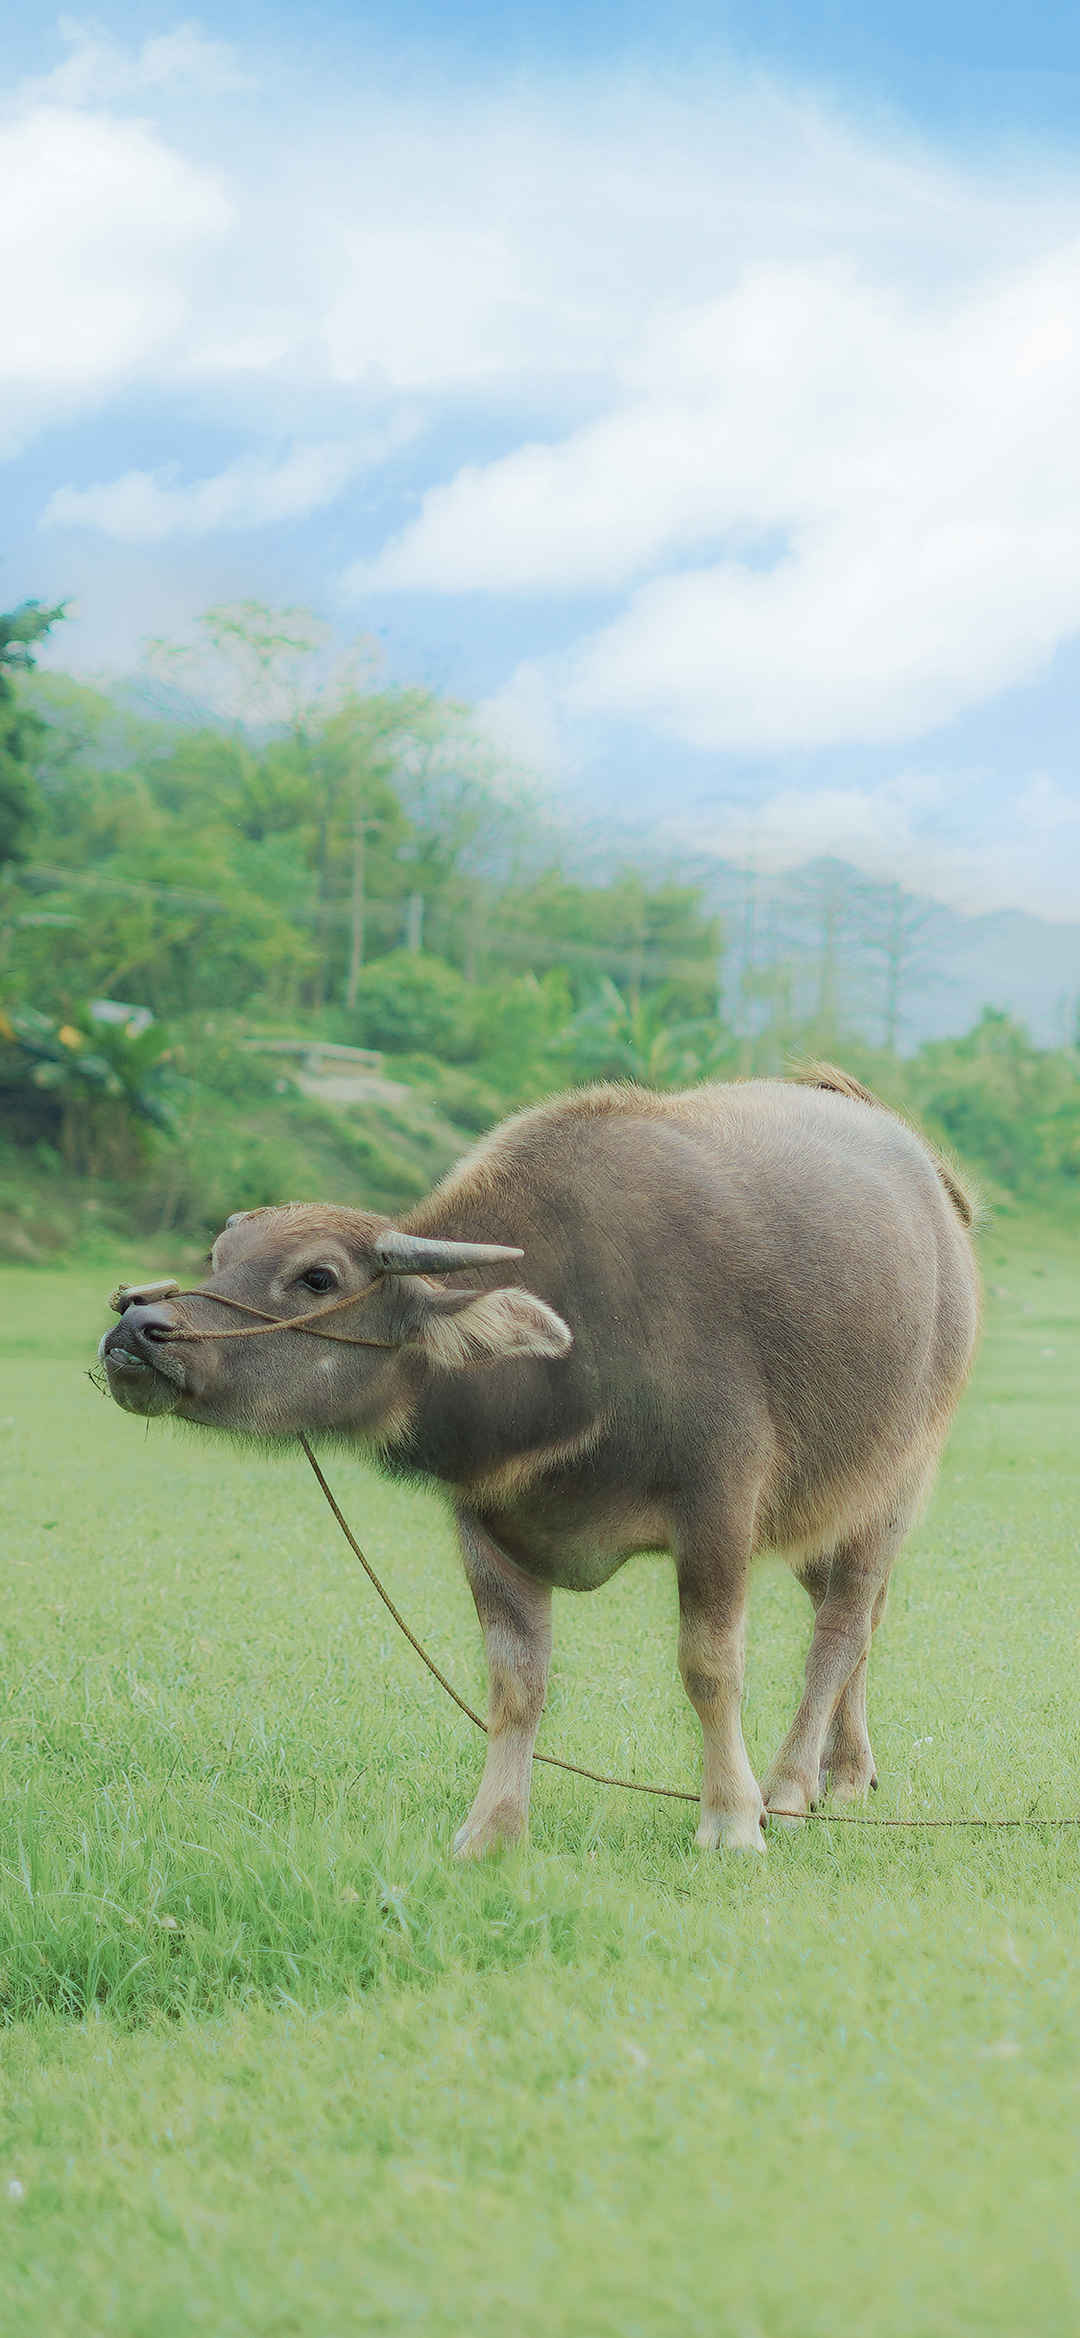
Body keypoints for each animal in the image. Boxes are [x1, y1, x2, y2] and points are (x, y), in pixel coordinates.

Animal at [101, 1070, 977, 1851]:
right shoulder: (488, 1527)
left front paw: (732, 1819)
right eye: (219, 1256)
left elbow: (709, 1665)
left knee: (840, 1627)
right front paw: (490, 1829)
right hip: (821, 1508)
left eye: (319, 1277)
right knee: (860, 1619)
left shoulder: (720, 1505)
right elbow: (516, 1685)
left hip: (893, 1486)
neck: (575, 1353)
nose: (137, 1329)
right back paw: (846, 1771)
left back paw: (791, 1789)